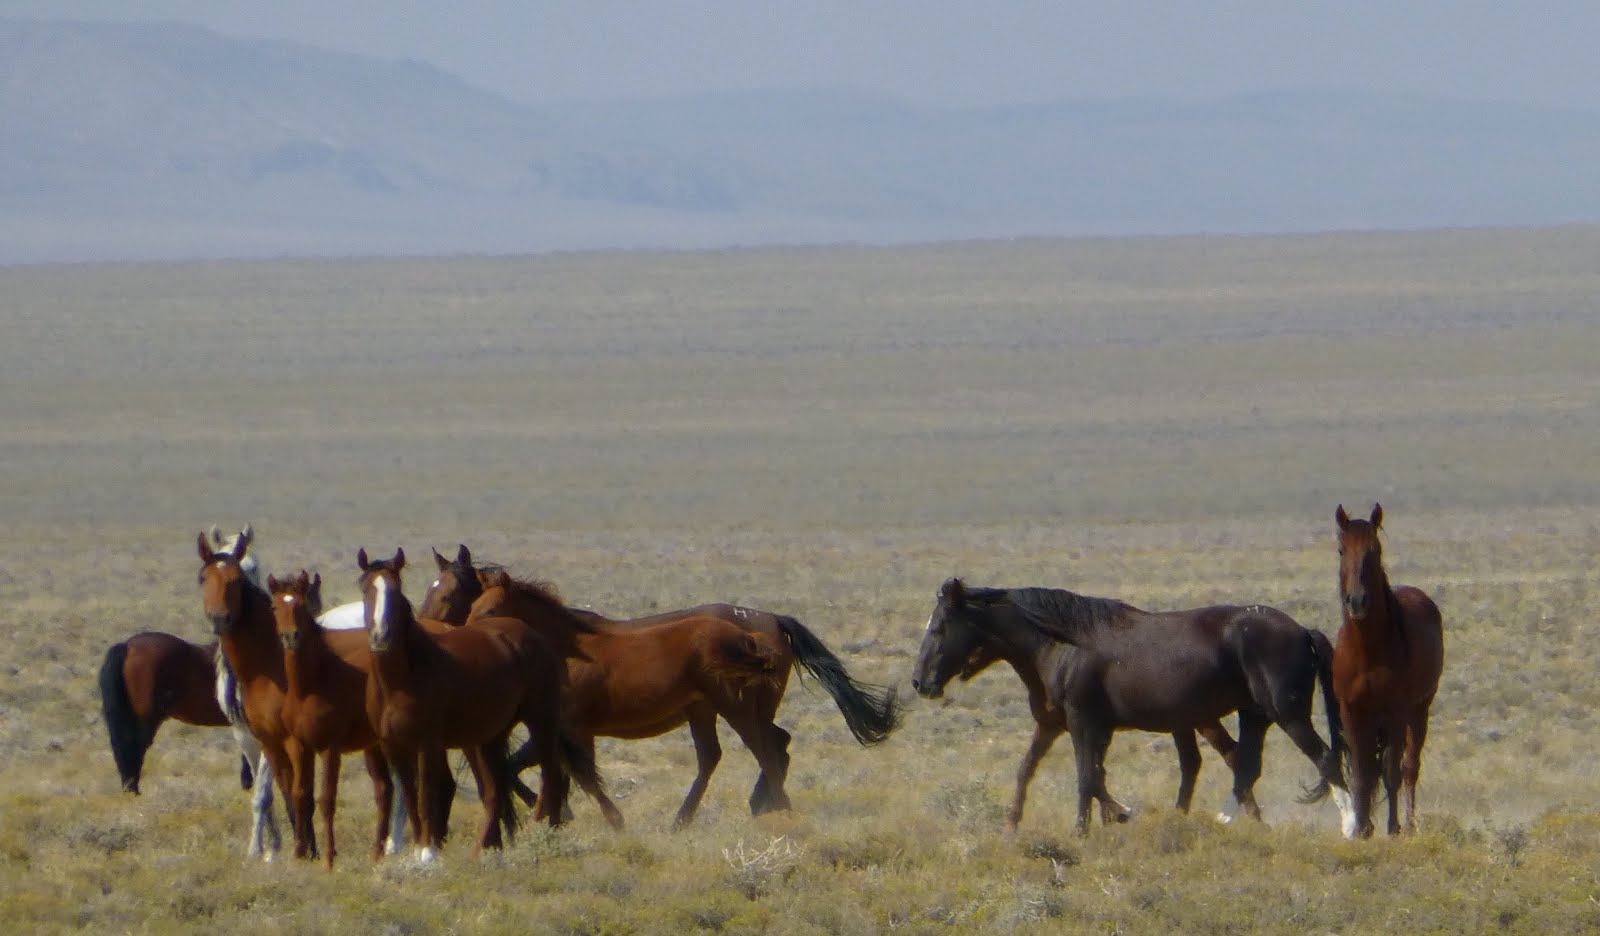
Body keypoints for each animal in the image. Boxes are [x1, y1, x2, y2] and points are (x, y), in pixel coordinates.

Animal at [196, 528, 396, 864]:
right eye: (203, 577)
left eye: (238, 578)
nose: (220, 618)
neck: (269, 663)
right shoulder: (258, 738)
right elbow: (283, 792)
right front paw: (280, 849)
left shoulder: (287, 739)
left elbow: (285, 792)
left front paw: (301, 850)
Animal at [444, 550, 908, 825]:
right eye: (472, 606)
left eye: (490, 610)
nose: (470, 639)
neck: (566, 650)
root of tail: (760, 628)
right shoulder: (561, 729)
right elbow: (533, 768)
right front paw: (548, 814)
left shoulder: (574, 728)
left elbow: (582, 776)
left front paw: (610, 821)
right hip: (707, 711)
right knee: (726, 755)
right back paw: (694, 818)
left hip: (736, 709)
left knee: (765, 751)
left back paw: (775, 811)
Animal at [908, 576, 1344, 832]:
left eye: (941, 627)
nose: (919, 683)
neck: (1062, 645)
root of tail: (1303, 630)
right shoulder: (1055, 726)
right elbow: (1029, 771)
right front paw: (1012, 827)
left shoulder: (1085, 725)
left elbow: (1087, 778)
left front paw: (1087, 829)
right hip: (1248, 716)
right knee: (1242, 766)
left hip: (1287, 716)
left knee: (1325, 761)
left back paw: (1349, 827)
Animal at [1324, 508, 1452, 838]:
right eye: (1341, 550)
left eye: (1375, 550)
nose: (1357, 601)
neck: (1367, 650)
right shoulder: (1352, 712)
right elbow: (1362, 773)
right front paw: (1360, 828)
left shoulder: (1395, 711)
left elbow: (1392, 770)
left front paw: (1392, 827)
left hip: (1418, 711)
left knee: (1409, 767)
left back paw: (1409, 822)